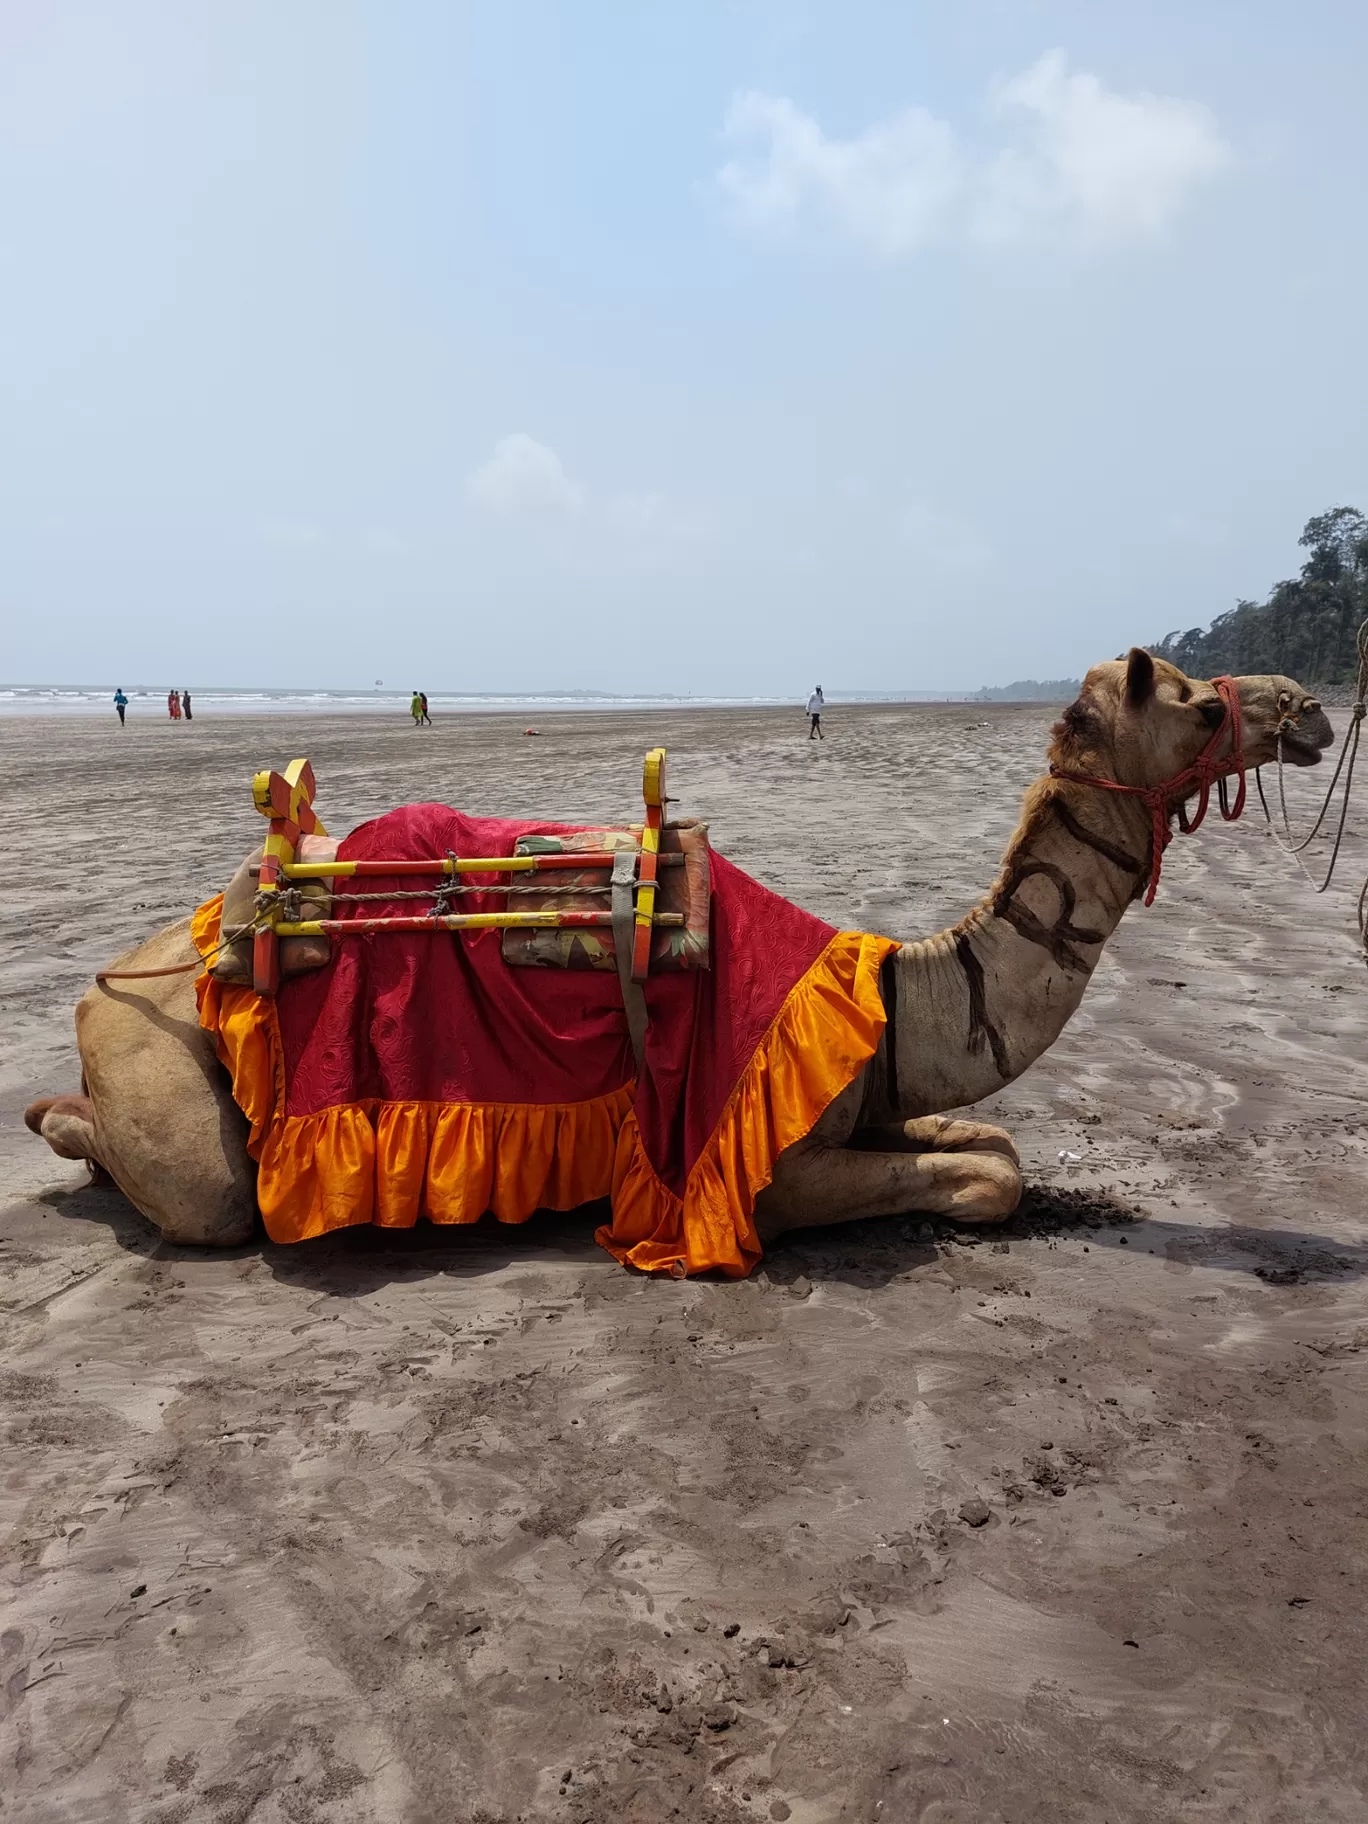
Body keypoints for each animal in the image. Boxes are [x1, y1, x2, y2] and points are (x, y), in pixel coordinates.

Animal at [18, 652, 1327, 1254]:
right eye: (1194, 707)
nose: (1309, 705)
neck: (890, 988)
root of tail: (116, 980)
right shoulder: (763, 1166)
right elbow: (987, 1180)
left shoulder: (870, 1086)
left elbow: (993, 1144)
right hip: (162, 1069)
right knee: (206, 1192)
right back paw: (55, 1125)